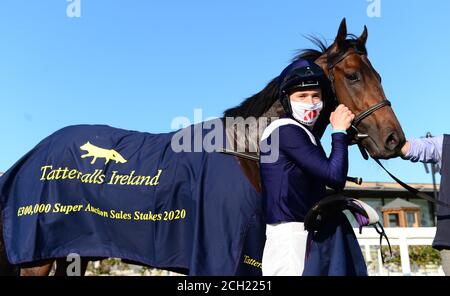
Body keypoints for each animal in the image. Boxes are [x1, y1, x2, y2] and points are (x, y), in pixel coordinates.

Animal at [0, 19, 404, 276]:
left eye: (380, 76)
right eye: (353, 75)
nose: (394, 139)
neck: (248, 152)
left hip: (75, 252)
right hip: (36, 257)